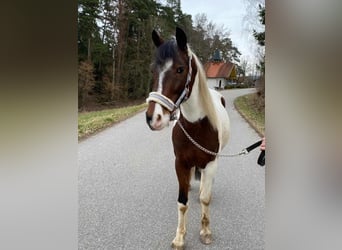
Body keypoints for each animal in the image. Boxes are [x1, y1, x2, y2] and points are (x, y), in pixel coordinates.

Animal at [144, 27, 230, 250]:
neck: (197, 124)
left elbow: (205, 199)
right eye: (153, 69)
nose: (153, 118)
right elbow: (182, 202)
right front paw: (179, 237)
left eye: (180, 69)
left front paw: (206, 231)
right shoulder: (181, 163)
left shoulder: (210, 162)